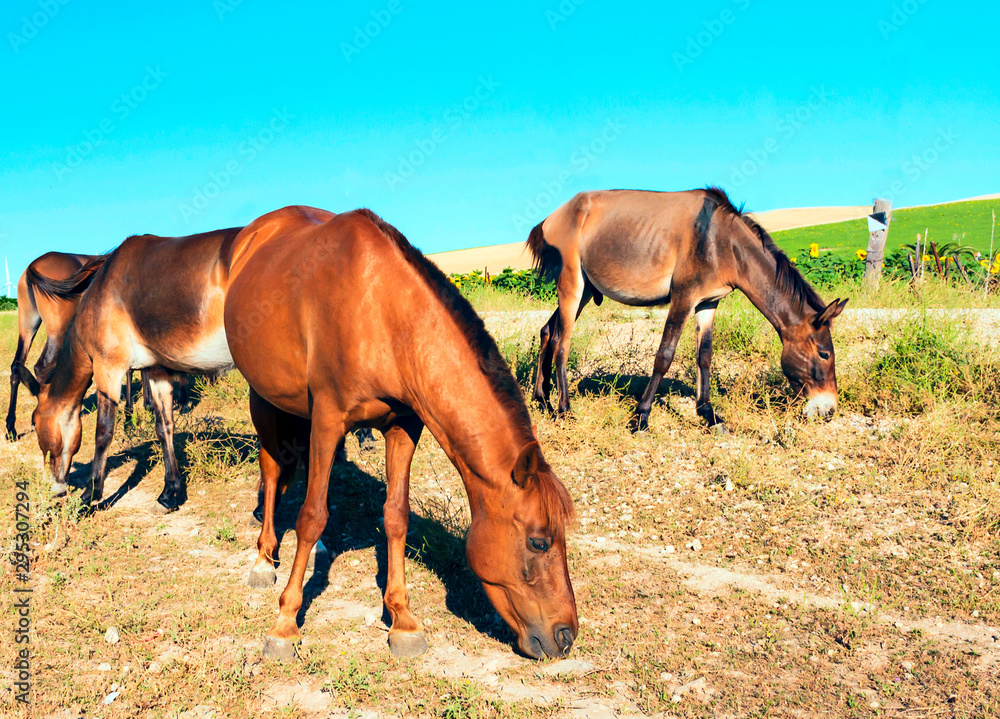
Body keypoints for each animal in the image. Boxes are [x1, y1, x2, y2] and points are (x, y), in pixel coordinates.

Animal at [15, 228, 243, 512]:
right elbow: (164, 426)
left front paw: (90, 494)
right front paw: (170, 493)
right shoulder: (157, 372)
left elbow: (103, 432)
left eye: (35, 422)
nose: (55, 487)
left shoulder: (108, 369)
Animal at [224, 206, 577, 661]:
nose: (566, 635)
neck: (383, 312)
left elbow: (395, 516)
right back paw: (264, 559)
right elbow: (311, 516)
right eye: (538, 542)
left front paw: (403, 620)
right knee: (272, 473)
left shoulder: (404, 426)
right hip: (264, 396)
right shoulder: (328, 419)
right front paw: (285, 624)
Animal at [526, 187, 848, 432]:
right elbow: (664, 356)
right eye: (824, 354)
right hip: (572, 286)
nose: (829, 409)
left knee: (548, 332)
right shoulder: (683, 298)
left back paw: (542, 399)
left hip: (584, 292)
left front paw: (709, 414)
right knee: (563, 344)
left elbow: (704, 357)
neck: (721, 242)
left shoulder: (708, 302)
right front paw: (641, 416)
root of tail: (551, 218)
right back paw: (564, 408)